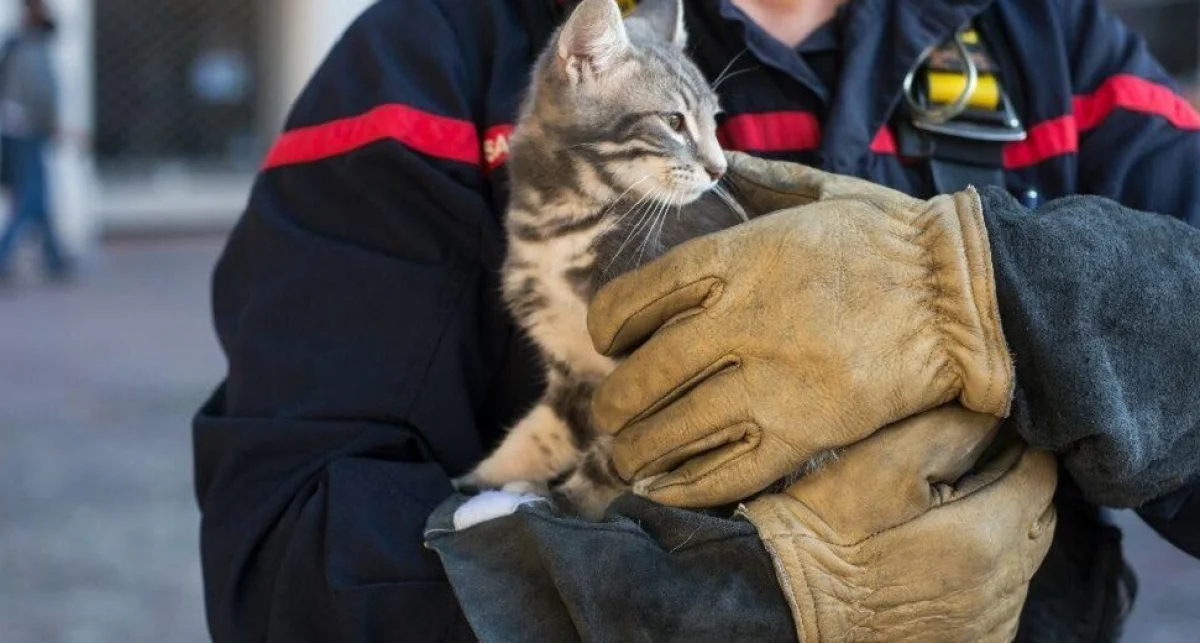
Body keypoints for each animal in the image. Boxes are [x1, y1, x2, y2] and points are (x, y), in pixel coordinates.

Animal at [458, 0, 758, 518]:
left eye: (715, 120)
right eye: (674, 122)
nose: (719, 168)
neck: (562, 224)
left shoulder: (660, 371)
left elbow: (622, 458)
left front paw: (566, 504)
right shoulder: (570, 365)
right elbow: (544, 432)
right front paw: (485, 478)